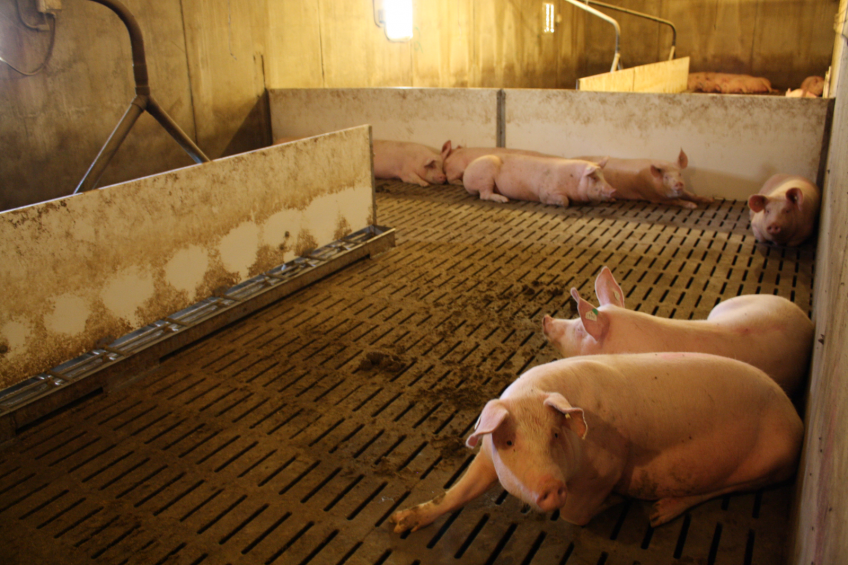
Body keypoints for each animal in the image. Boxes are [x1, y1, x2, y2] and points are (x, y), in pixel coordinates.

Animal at [390, 350, 800, 532]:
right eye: (508, 443)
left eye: (555, 434)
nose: (550, 486)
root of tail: (795, 419)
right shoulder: (486, 458)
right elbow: (457, 493)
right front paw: (400, 521)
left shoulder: (607, 469)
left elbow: (574, 517)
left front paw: (616, 501)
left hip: (768, 462)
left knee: (720, 489)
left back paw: (656, 514)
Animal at [464, 153, 616, 206]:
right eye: (594, 177)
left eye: (603, 176)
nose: (613, 190)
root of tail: (467, 171)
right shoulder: (546, 192)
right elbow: (564, 201)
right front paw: (563, 203)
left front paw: (612, 200)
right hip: (485, 177)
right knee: (484, 195)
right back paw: (504, 199)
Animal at [572, 150, 712, 209]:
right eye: (666, 177)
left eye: (680, 174)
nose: (678, 184)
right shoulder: (653, 196)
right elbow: (676, 201)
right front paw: (693, 206)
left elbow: (691, 194)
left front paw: (709, 199)